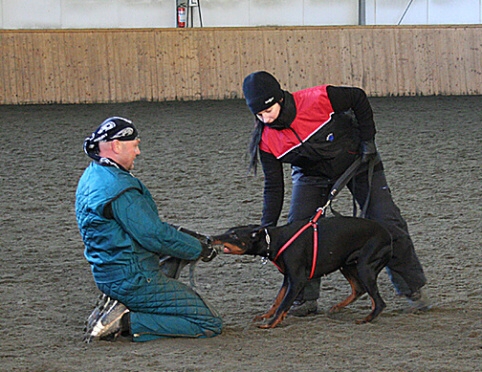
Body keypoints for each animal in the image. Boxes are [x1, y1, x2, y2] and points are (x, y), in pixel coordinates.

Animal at [213, 215, 394, 328]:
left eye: (234, 235)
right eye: (229, 231)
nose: (211, 238)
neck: (275, 240)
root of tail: (388, 235)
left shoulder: (298, 279)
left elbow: (283, 304)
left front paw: (270, 324)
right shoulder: (288, 278)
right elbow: (277, 300)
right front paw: (266, 315)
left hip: (364, 266)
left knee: (379, 302)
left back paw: (366, 319)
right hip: (346, 264)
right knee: (360, 289)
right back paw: (338, 308)